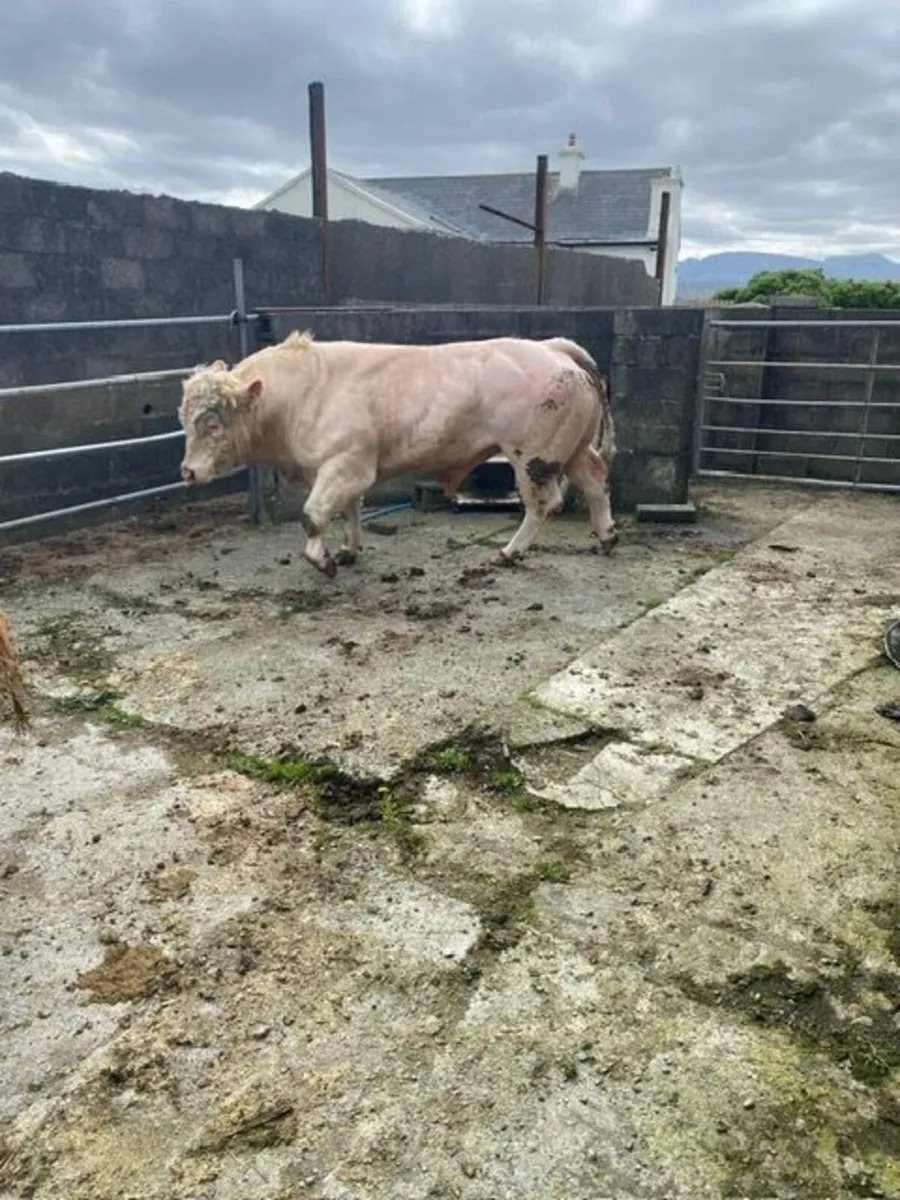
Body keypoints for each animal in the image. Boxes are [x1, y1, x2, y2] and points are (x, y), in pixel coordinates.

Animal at [178, 331, 617, 577]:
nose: (187, 472)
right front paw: (348, 550)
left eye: (213, 423)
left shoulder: (346, 463)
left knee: (543, 504)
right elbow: (348, 511)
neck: (302, 392)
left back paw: (508, 554)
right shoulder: (343, 470)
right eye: (184, 418)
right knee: (595, 479)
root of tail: (550, 347)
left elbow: (312, 515)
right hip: (572, 451)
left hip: (533, 457)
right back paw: (606, 537)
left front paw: (323, 561)